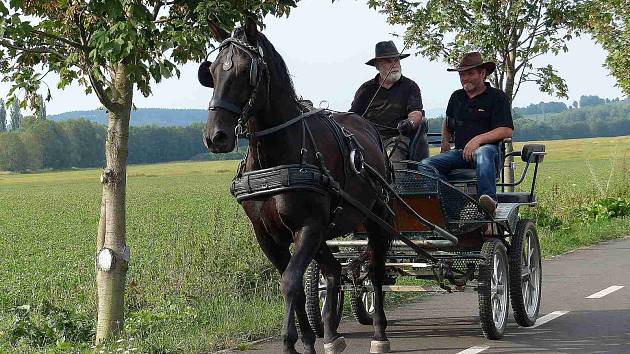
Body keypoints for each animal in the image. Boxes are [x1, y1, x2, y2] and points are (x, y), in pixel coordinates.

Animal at [205, 20, 396, 354]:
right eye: (211, 71)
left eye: (245, 71)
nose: (216, 136)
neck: (274, 155)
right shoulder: (268, 236)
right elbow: (293, 282)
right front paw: (307, 340)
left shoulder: (307, 227)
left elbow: (290, 282)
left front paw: (288, 342)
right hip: (326, 230)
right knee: (334, 271)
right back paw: (331, 334)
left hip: (376, 218)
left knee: (374, 269)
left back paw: (379, 334)